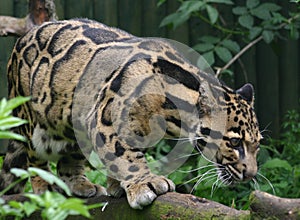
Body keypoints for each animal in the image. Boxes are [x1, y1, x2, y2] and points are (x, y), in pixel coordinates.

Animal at [0, 18, 262, 208]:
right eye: (234, 142)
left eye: (257, 144)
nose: (251, 174)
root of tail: (22, 39)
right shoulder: (105, 121)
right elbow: (125, 155)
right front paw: (145, 183)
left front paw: (117, 185)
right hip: (32, 123)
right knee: (35, 159)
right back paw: (46, 188)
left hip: (74, 131)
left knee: (69, 159)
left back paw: (80, 184)